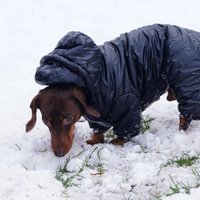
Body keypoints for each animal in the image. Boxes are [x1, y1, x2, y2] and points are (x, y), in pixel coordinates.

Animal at [27, 24, 200, 156]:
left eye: (68, 118)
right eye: (45, 121)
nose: (59, 154)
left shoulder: (128, 105)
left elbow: (127, 130)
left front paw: (118, 141)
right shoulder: (96, 118)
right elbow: (98, 130)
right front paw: (95, 140)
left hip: (185, 82)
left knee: (186, 114)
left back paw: (181, 130)